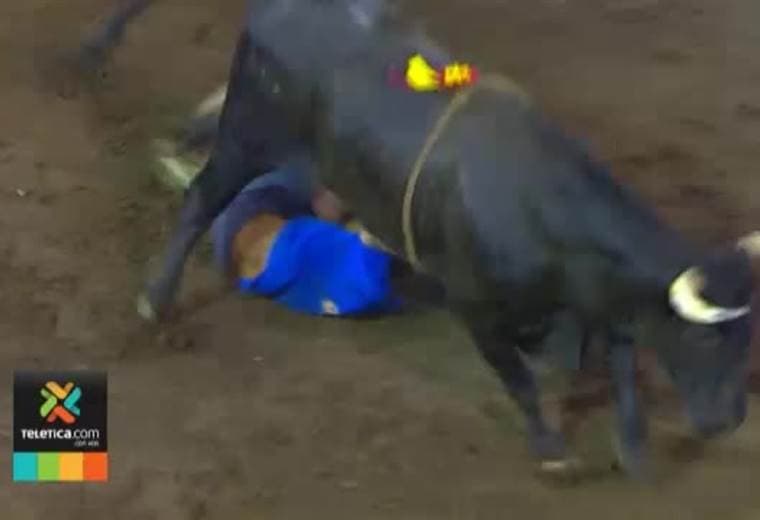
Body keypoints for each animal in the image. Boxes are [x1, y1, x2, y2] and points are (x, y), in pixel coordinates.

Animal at [91, 0, 759, 479]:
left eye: (748, 338)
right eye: (707, 340)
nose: (727, 422)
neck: (546, 212)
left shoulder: (599, 296)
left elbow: (620, 361)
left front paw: (634, 448)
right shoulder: (475, 304)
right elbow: (519, 376)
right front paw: (551, 446)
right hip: (251, 135)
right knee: (203, 201)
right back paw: (156, 296)